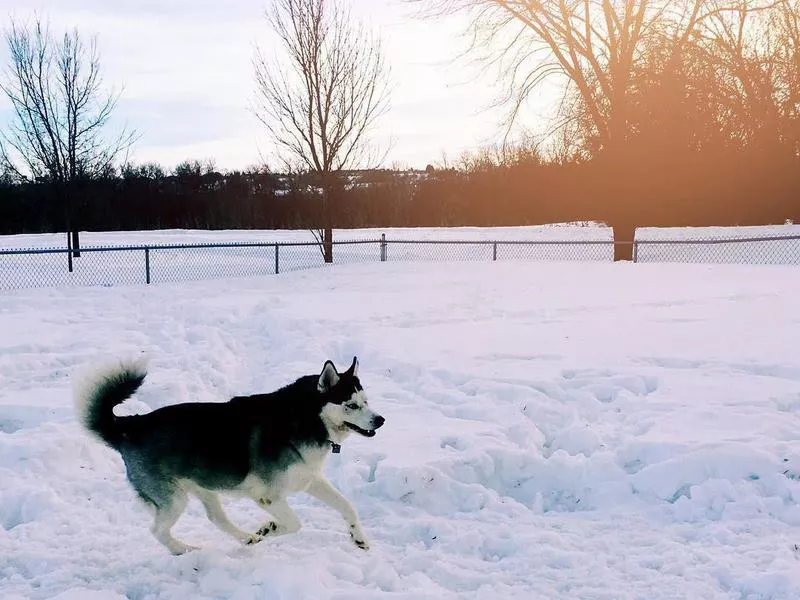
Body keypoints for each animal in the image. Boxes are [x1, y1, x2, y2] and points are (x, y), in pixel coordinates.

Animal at [74, 354, 384, 556]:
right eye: (351, 405)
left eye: (366, 401)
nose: (380, 420)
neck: (306, 419)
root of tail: (130, 426)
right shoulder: (269, 497)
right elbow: (294, 523)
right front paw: (268, 528)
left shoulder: (310, 480)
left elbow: (347, 507)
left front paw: (359, 539)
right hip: (174, 500)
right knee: (158, 531)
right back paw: (185, 550)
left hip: (205, 487)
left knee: (216, 518)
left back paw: (245, 538)